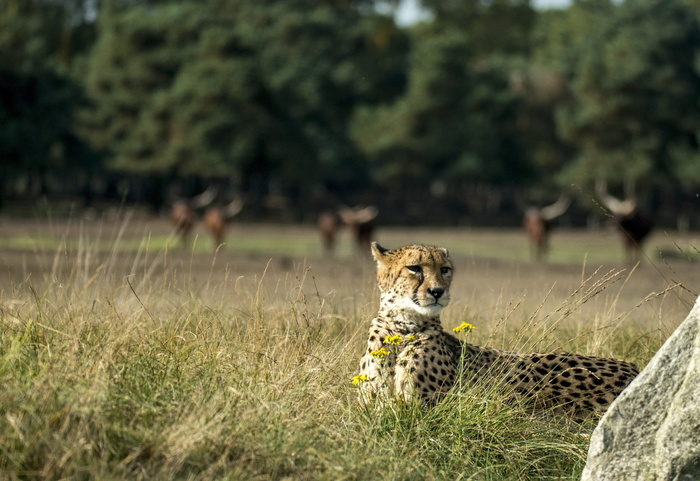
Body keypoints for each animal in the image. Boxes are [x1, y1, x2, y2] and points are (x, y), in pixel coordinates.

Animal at [356, 242, 640, 418]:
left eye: (445, 270)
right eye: (414, 268)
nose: (438, 291)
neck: (403, 328)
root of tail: (634, 367)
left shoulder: (422, 407)